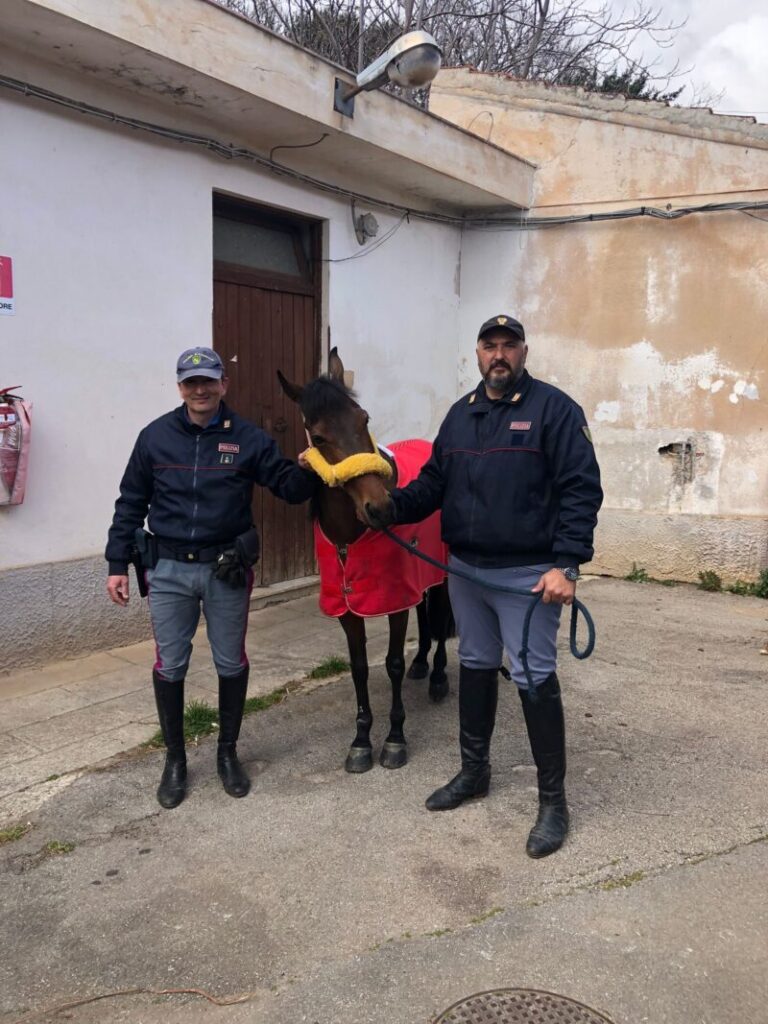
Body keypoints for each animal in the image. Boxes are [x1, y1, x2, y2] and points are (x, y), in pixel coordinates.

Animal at [280, 348, 454, 770]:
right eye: (318, 436)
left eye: (365, 419)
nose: (381, 508)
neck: (351, 535)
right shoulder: (348, 607)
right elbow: (359, 667)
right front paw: (361, 741)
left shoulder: (394, 600)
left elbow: (391, 663)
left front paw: (394, 739)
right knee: (424, 611)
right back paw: (421, 664)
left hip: (439, 571)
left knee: (440, 614)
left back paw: (438, 677)